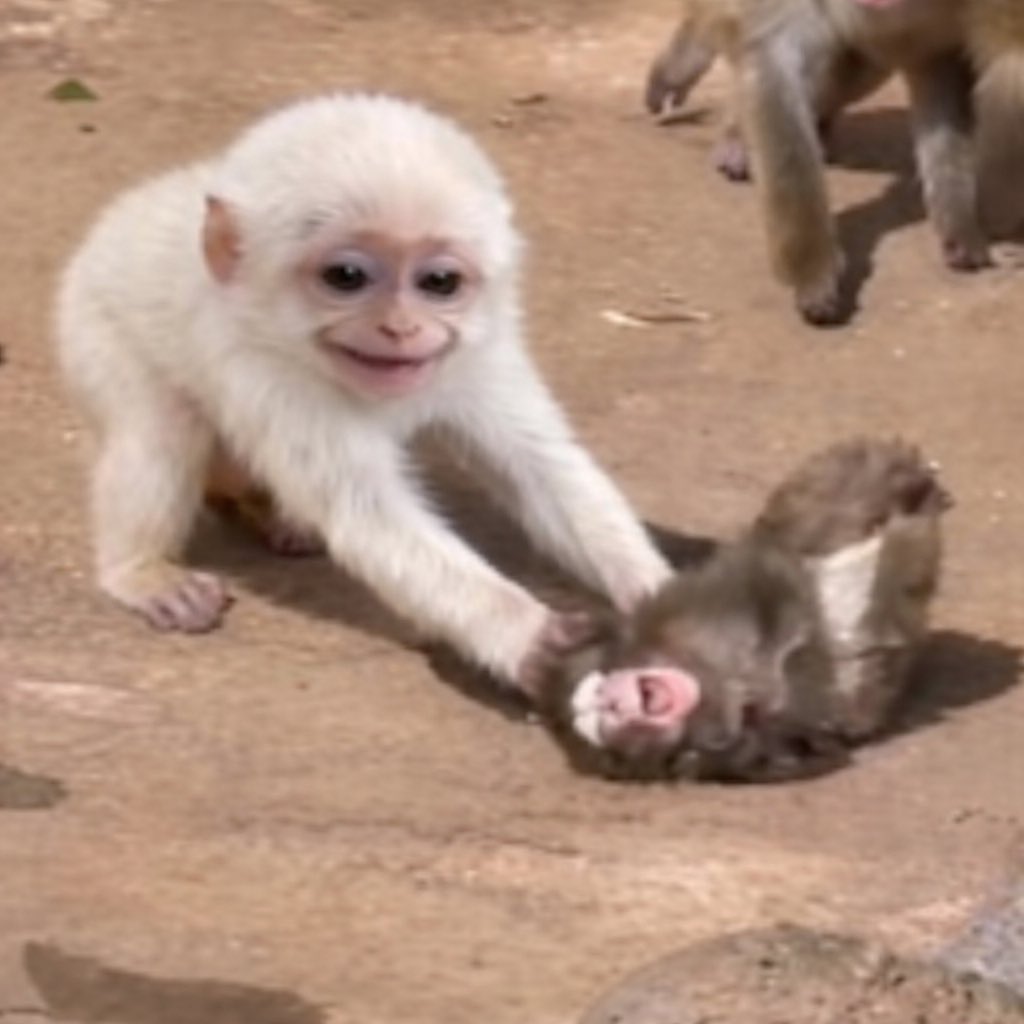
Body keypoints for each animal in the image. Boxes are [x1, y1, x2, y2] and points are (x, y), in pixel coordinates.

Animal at [55, 92, 674, 694]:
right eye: (346, 277)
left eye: (439, 283)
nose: (399, 328)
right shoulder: (273, 374)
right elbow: (365, 510)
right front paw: (535, 642)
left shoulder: (480, 350)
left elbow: (539, 465)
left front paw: (657, 597)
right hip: (88, 321)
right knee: (163, 429)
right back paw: (140, 571)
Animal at [536, 438, 951, 782]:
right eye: (603, 717)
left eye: (603, 696)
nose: (614, 703)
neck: (719, 683)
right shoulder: (736, 750)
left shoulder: (682, 615)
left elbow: (768, 574)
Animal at [644, 0, 996, 326]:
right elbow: (778, 68)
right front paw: (812, 271)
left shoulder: (943, 20)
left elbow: (941, 70)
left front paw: (958, 222)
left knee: (857, 65)